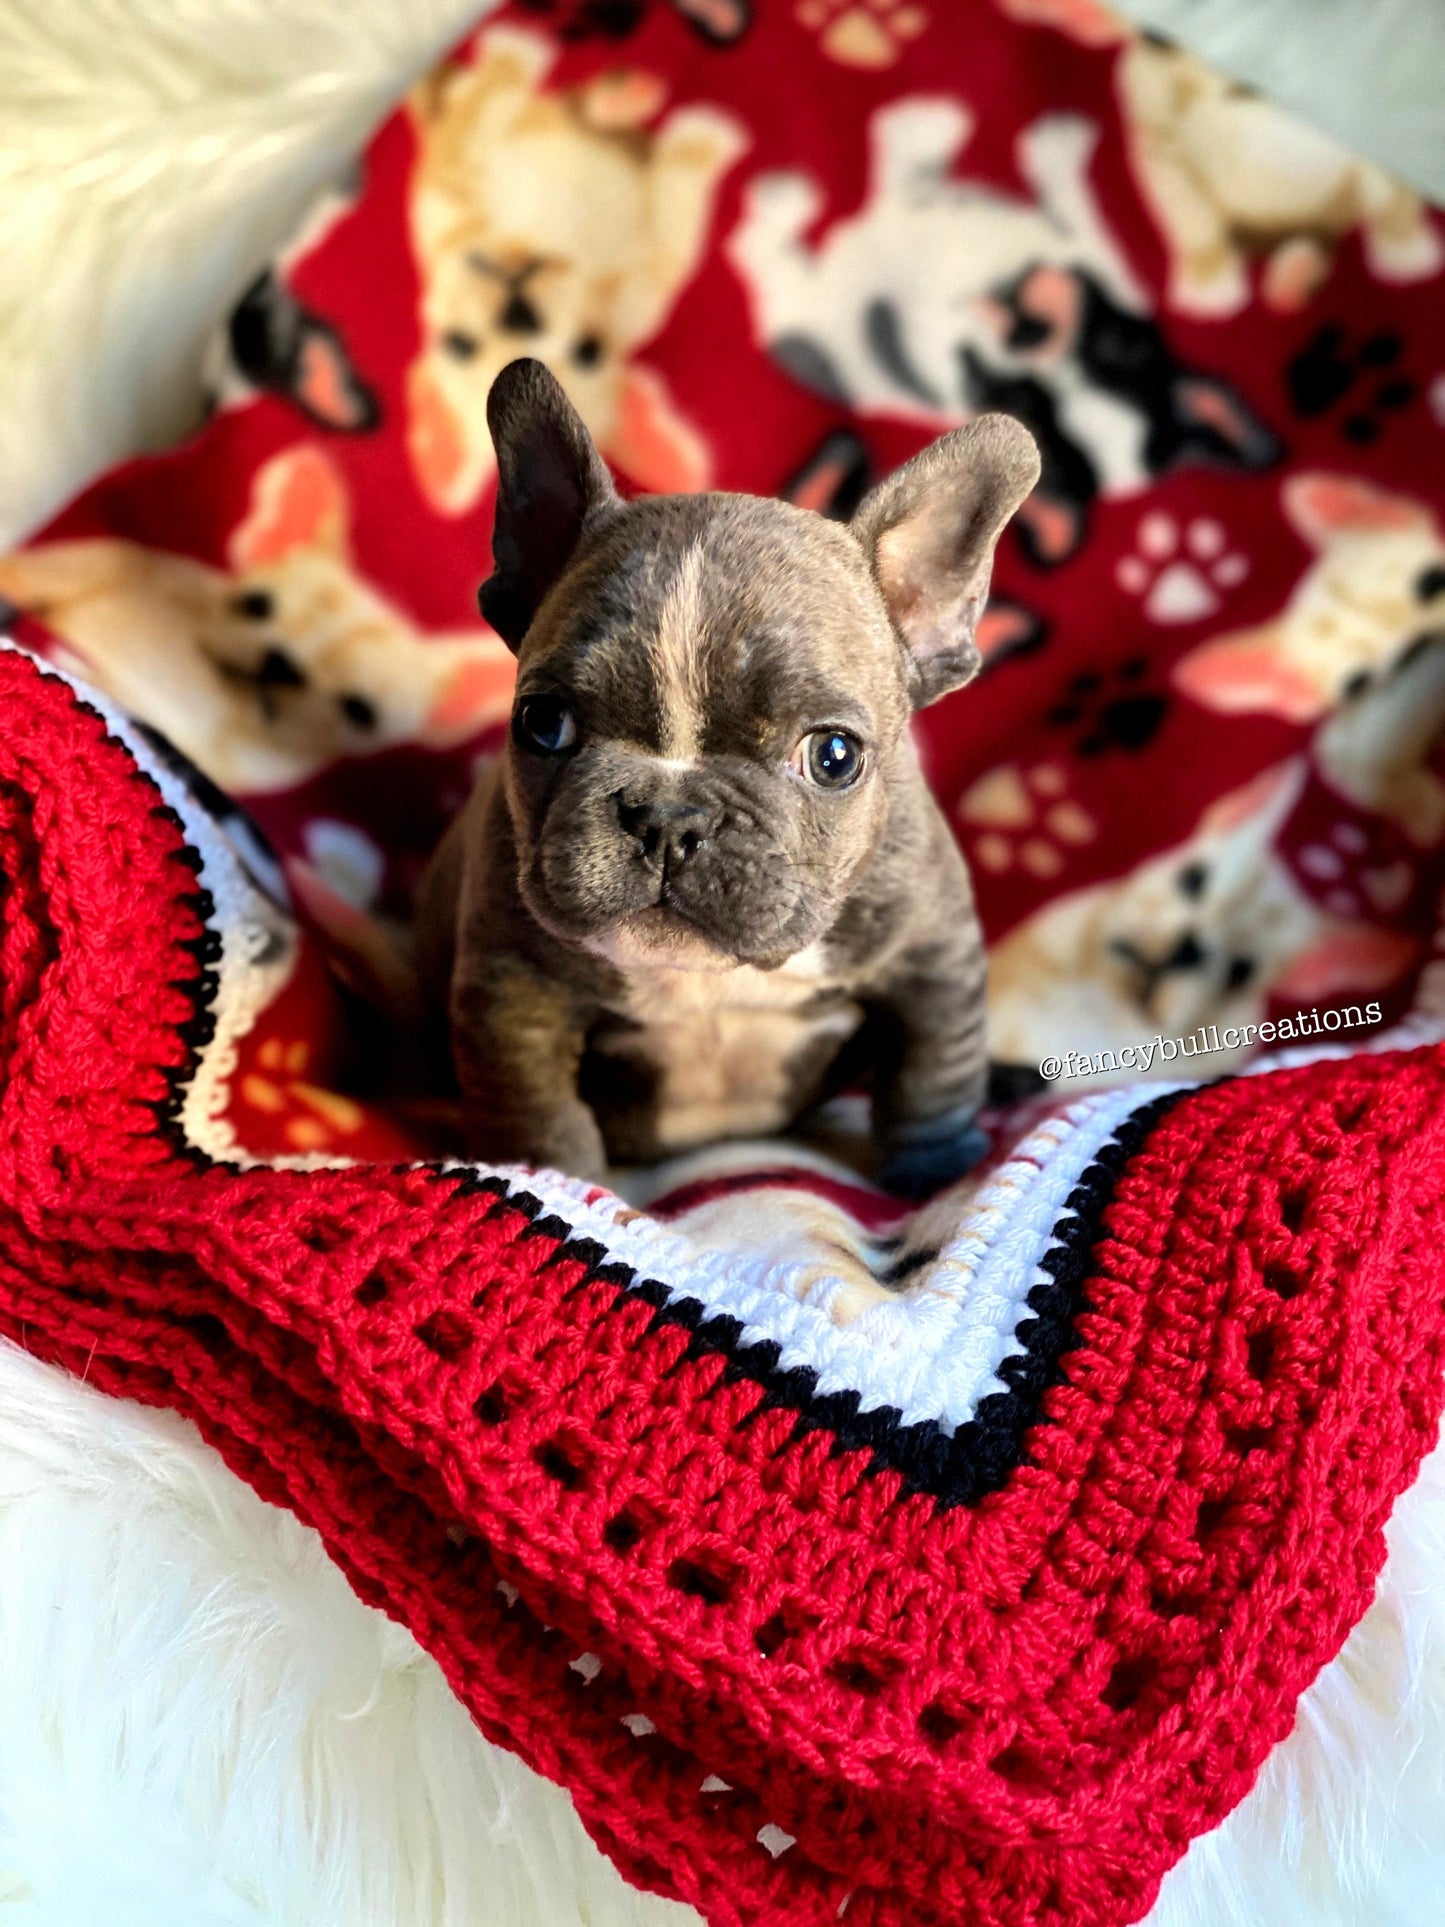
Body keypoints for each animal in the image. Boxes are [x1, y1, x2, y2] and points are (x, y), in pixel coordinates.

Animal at [418, 352, 1040, 1179]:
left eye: (834, 756)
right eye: (542, 723)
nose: (667, 818)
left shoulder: (930, 961)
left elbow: (931, 1074)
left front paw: (934, 1169)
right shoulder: (513, 991)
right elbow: (537, 1112)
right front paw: (555, 1181)